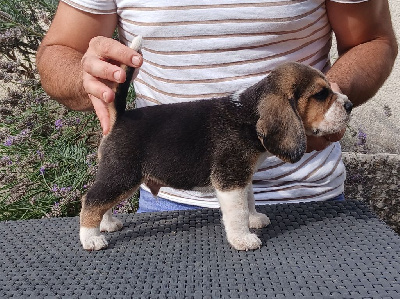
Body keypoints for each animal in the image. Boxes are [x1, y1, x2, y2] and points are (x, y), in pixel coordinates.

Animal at [79, 37, 354, 253]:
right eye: (321, 95)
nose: (350, 105)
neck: (249, 115)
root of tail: (121, 117)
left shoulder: (243, 177)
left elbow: (249, 200)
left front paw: (254, 219)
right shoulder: (230, 179)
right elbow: (238, 211)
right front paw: (243, 238)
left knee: (102, 201)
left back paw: (107, 224)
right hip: (121, 175)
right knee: (91, 199)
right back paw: (91, 238)